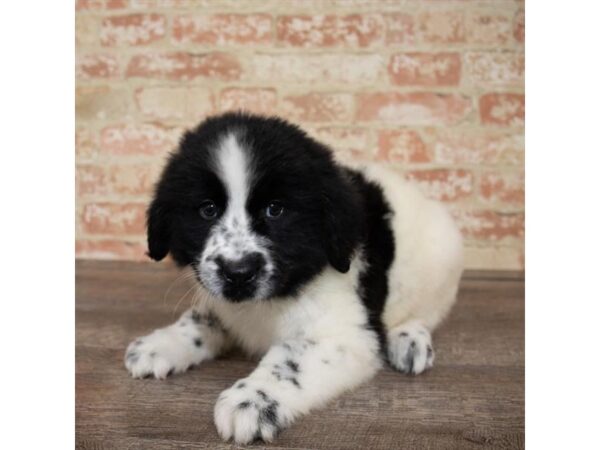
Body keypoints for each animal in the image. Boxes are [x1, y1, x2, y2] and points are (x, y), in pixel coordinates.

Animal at [124, 111, 464, 442]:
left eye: (275, 209)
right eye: (207, 210)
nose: (238, 272)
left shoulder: (347, 337)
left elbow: (289, 361)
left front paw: (252, 401)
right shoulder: (221, 301)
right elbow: (200, 319)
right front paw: (160, 344)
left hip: (440, 257)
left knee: (426, 312)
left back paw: (409, 339)